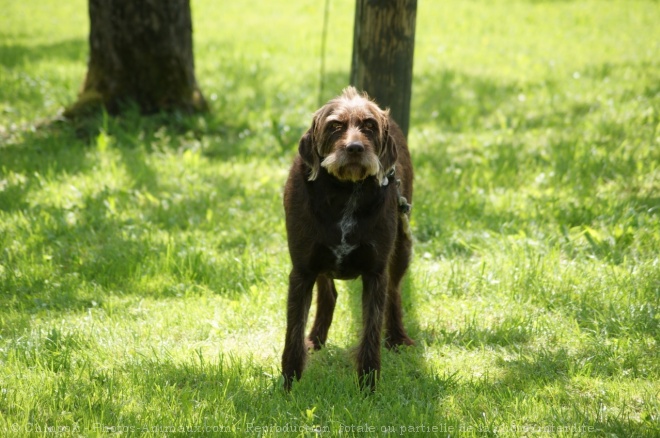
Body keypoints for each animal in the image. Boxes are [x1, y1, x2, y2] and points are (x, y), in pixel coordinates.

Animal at [282, 86, 416, 390]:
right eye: (335, 126)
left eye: (369, 125)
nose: (355, 148)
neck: (346, 190)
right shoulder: (302, 270)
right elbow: (293, 332)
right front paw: (288, 385)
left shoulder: (376, 273)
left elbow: (371, 333)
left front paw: (368, 386)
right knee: (329, 293)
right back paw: (316, 338)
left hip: (402, 247)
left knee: (394, 293)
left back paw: (397, 336)